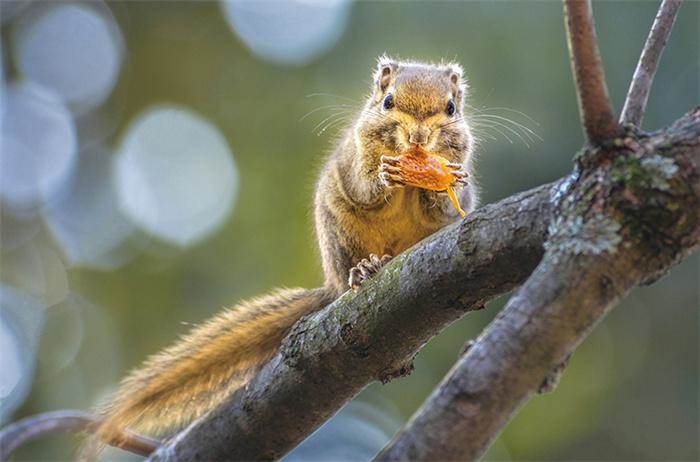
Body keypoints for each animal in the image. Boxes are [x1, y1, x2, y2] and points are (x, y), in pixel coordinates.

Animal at [82, 56, 476, 454]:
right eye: (388, 101)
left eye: (451, 108)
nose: (418, 138)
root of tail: (331, 287)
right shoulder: (356, 156)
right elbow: (365, 186)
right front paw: (385, 177)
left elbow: (445, 205)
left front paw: (444, 184)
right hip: (338, 233)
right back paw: (364, 270)